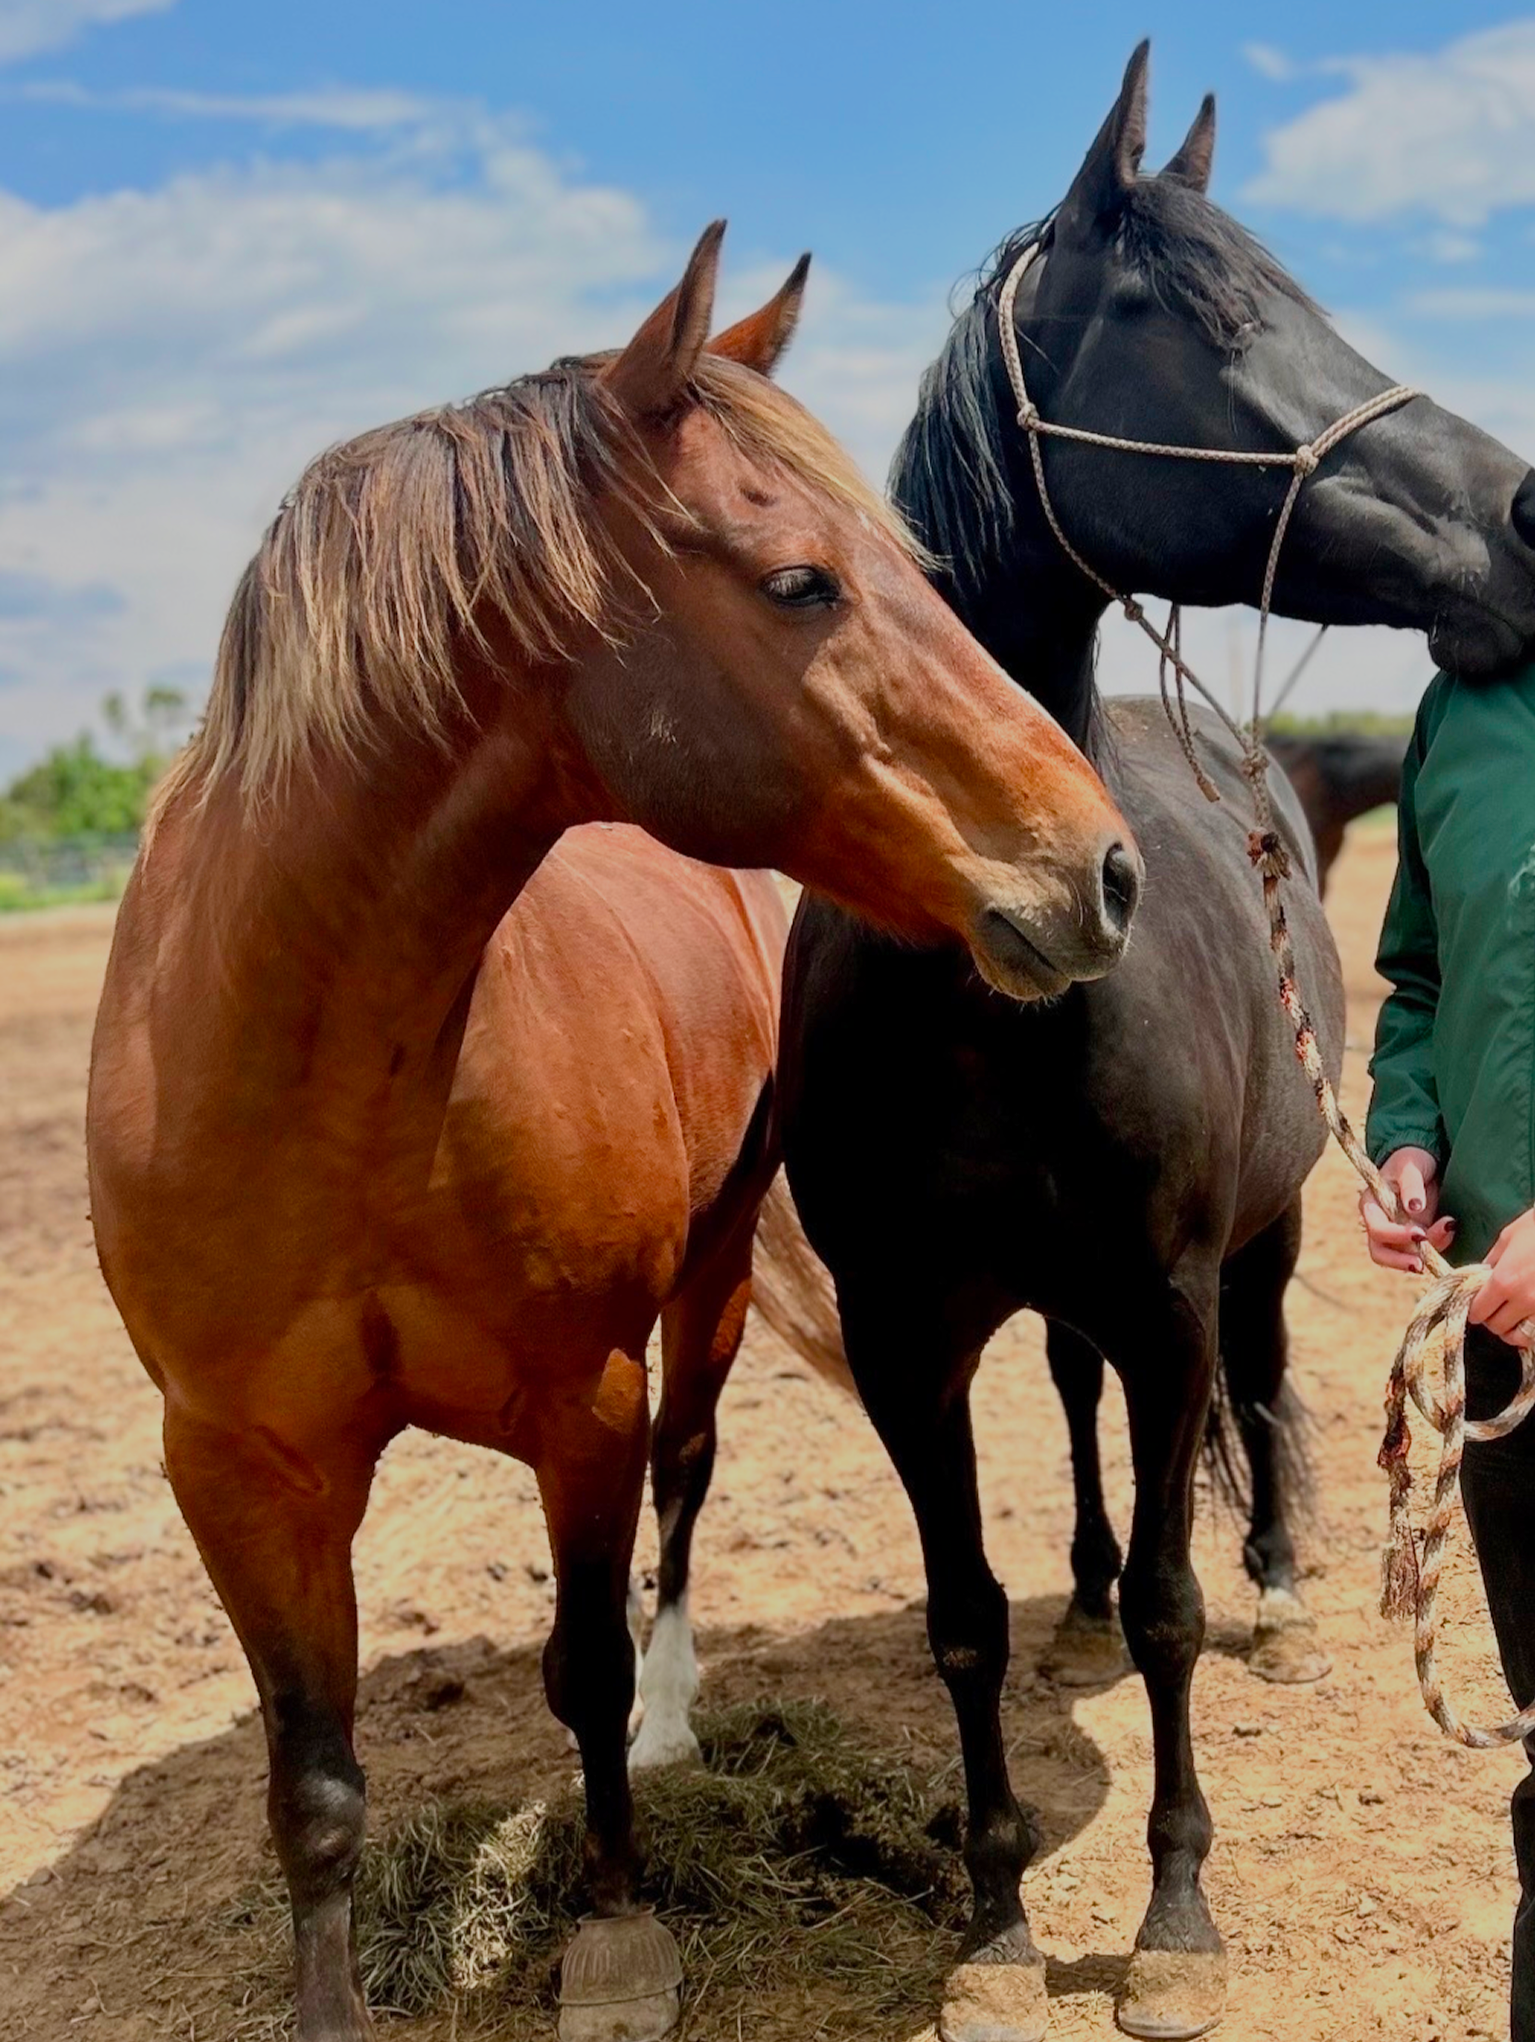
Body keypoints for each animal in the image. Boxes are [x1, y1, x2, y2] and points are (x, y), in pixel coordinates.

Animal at [85, 222, 1139, 2042]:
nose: (1100, 861)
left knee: (686, 1492)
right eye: (800, 583)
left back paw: (672, 1713)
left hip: (702, 1303)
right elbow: (315, 1782)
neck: (325, 1082)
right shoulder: (237, 1465)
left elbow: (578, 1667)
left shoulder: (580, 1404)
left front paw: (616, 1923)